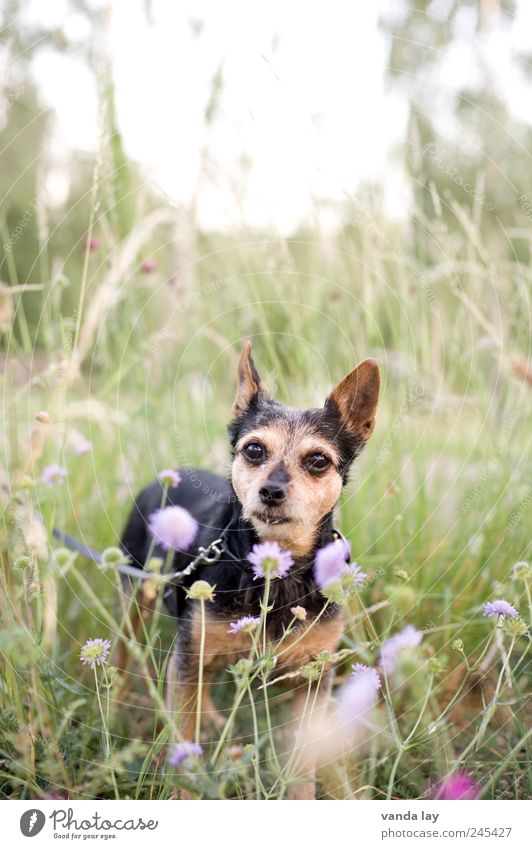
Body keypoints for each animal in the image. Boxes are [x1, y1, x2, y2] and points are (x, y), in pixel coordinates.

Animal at [120, 340, 378, 796]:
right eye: (254, 450)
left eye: (318, 460)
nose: (271, 491)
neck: (275, 570)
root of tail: (165, 477)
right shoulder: (188, 658)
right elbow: (183, 748)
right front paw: (184, 792)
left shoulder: (313, 681)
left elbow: (303, 765)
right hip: (136, 597)